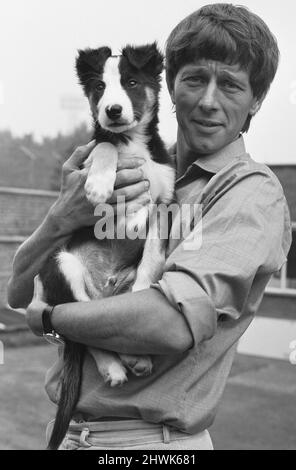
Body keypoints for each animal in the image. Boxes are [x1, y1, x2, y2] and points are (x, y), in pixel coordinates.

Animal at [38, 43, 176, 448]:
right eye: (99, 87)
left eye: (131, 82)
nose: (112, 110)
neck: (134, 145)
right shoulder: (92, 150)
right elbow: (103, 145)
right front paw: (100, 184)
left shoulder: (163, 205)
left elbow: (152, 259)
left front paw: (146, 287)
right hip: (62, 267)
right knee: (81, 327)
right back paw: (116, 366)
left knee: (101, 324)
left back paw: (135, 358)